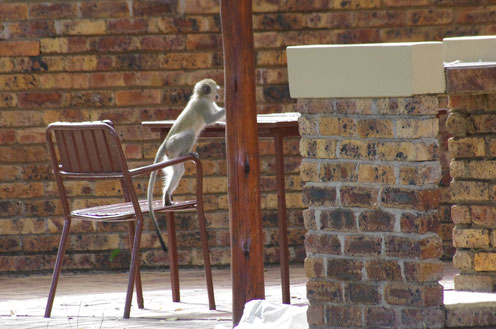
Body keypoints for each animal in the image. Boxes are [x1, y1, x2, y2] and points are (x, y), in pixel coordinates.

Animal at [147, 78, 225, 252]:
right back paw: (187, 153)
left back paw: (167, 196)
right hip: (174, 145)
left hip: (170, 155)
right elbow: (209, 120)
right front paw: (227, 108)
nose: (218, 95)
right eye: (216, 89)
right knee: (190, 134)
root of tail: (165, 143)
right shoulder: (202, 105)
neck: (201, 97)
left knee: (178, 171)